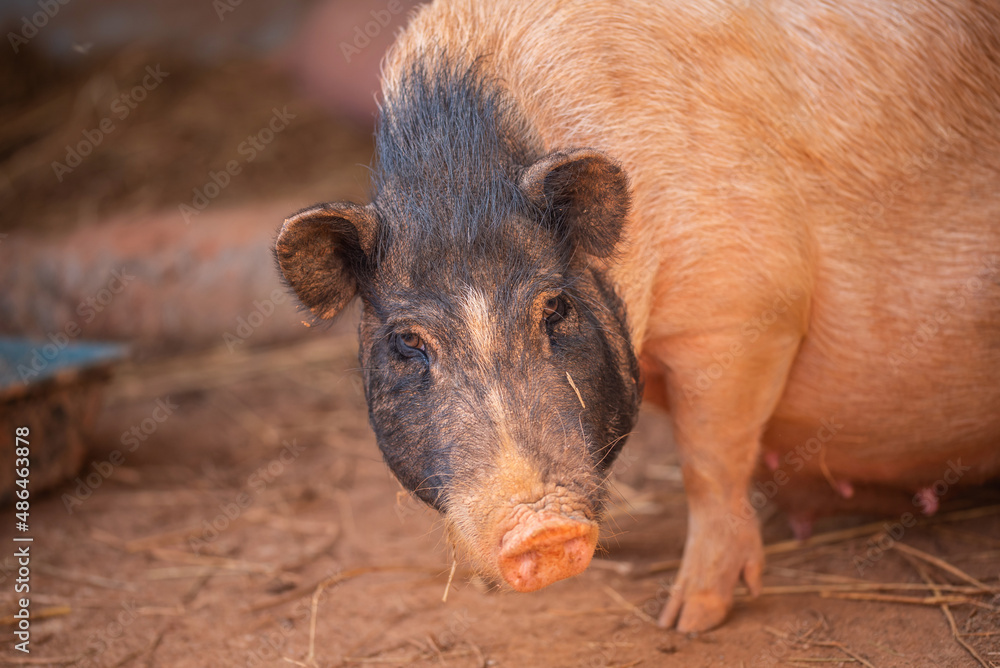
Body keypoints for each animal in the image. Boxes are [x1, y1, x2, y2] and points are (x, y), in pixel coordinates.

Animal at [278, 0, 1000, 636]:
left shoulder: (748, 307)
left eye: (557, 307)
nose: (544, 528)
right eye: (407, 341)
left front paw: (686, 623)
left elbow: (707, 463)